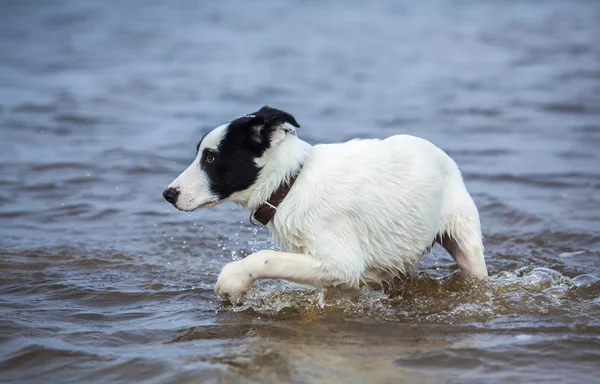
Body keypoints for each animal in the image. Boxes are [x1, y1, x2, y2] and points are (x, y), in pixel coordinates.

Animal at [163, 106, 488, 302]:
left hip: (466, 244)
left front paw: (232, 281)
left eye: (210, 157)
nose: (168, 194)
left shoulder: (341, 263)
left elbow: (264, 258)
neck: (290, 183)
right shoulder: (335, 275)